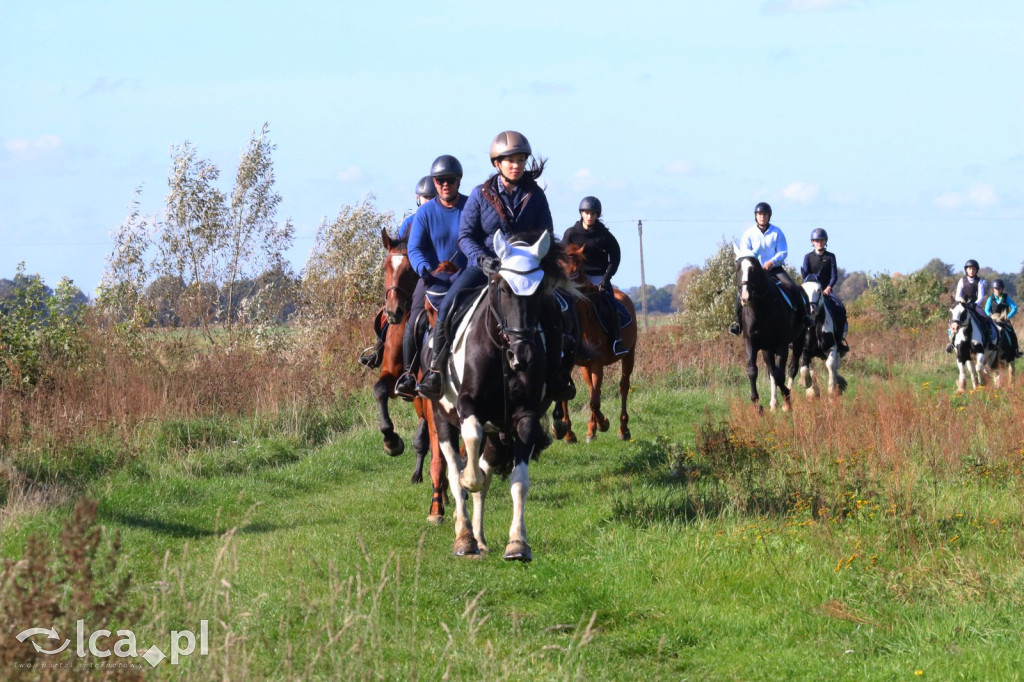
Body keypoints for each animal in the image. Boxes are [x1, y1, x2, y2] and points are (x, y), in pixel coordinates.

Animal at [430, 228, 577, 557]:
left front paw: (517, 543)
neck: (502, 352)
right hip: (443, 417)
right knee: (454, 475)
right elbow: (470, 462)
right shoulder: (468, 405)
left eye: (539, 292)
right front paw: (470, 480)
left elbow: (518, 481)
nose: (523, 354)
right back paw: (464, 538)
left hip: (498, 432)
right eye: (502, 287)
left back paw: (480, 540)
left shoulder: (526, 416)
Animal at [548, 241, 634, 444]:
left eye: (576, 270)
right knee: (593, 390)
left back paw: (623, 429)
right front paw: (568, 434)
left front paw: (604, 424)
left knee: (623, 387)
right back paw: (591, 430)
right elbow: (570, 396)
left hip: (629, 355)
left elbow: (594, 402)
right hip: (585, 367)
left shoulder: (597, 363)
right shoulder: (572, 364)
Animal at [737, 249, 806, 409]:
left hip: (799, 340)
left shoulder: (782, 345)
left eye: (753, 269)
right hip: (767, 349)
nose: (745, 297)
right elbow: (753, 371)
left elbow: (780, 375)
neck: (761, 309)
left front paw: (787, 400)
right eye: (738, 269)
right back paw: (773, 403)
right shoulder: (750, 343)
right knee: (772, 371)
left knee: (792, 368)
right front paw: (757, 404)